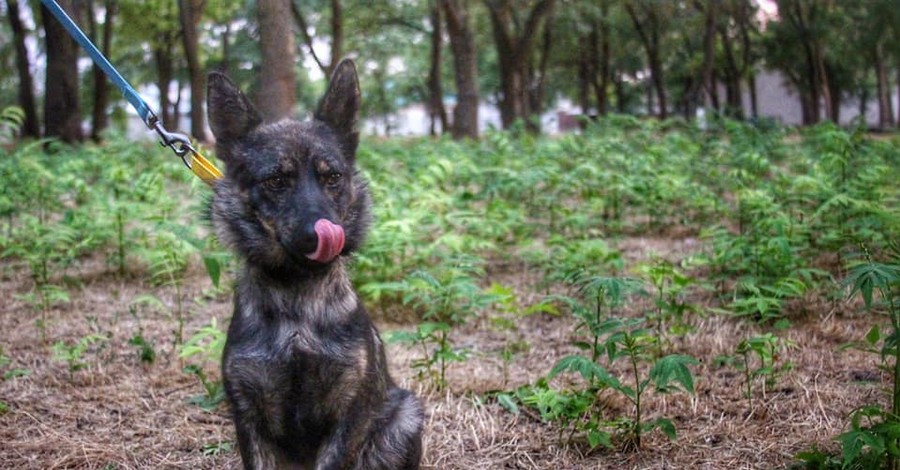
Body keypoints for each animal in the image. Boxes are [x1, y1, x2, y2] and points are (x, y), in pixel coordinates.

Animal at [207, 59, 426, 470]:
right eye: (277, 180)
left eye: (333, 177)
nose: (322, 234)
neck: (297, 298)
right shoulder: (248, 414)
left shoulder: (350, 412)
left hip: (404, 415)